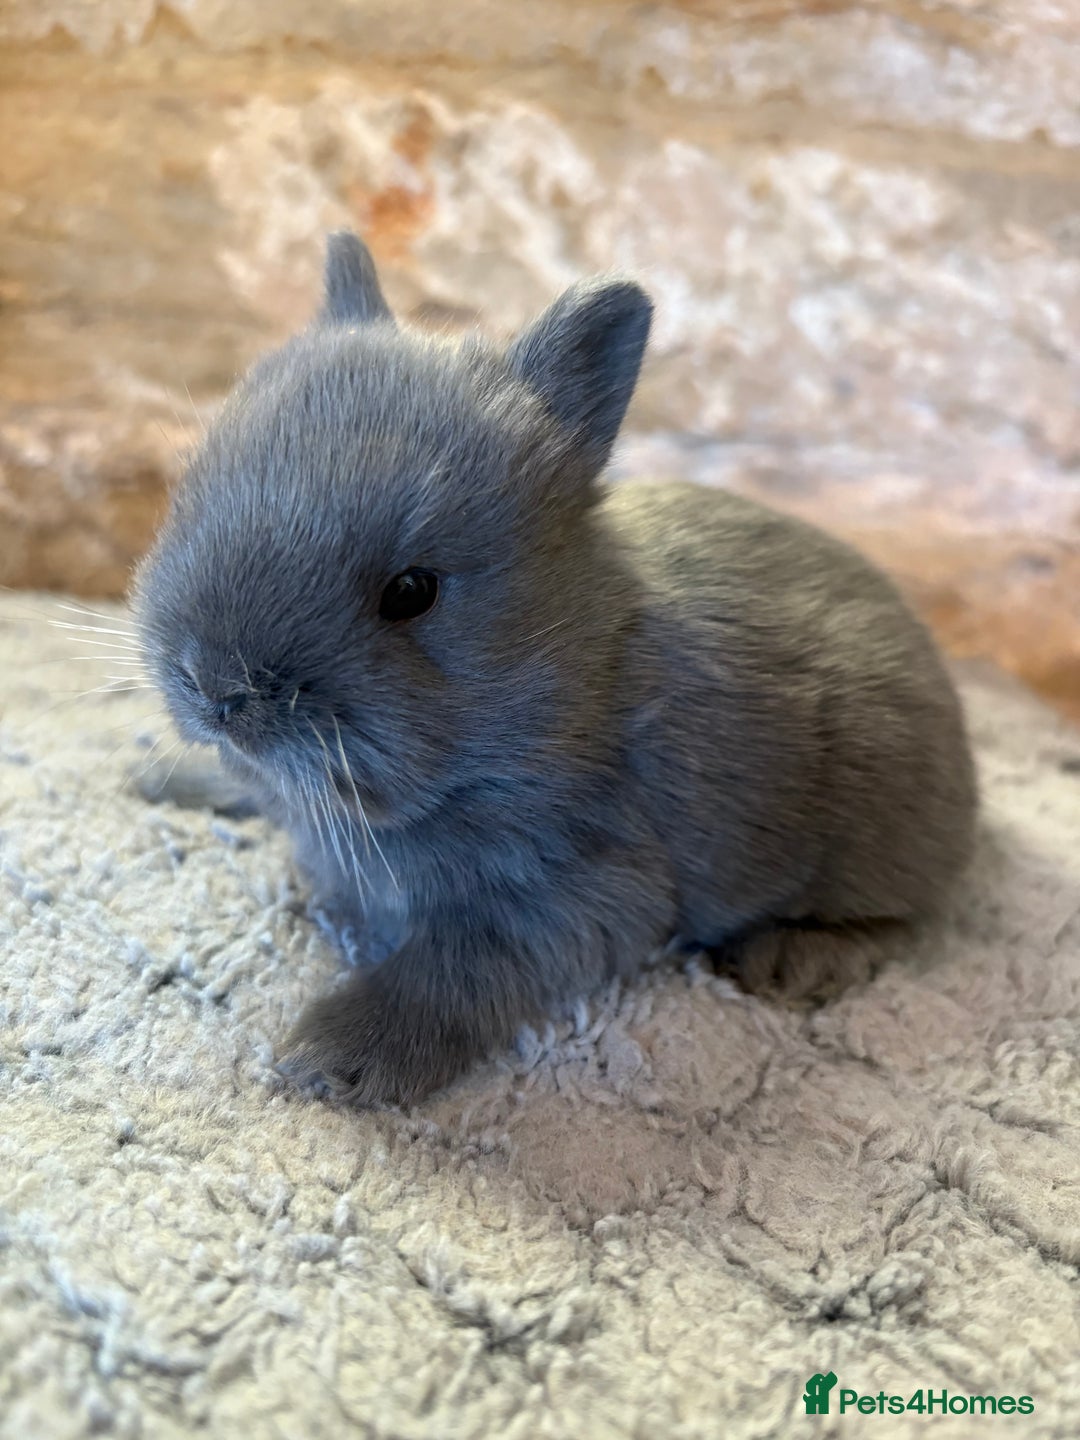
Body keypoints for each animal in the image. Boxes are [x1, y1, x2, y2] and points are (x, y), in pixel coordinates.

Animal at [134, 231, 977, 1106]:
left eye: (412, 592)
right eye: (193, 492)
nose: (215, 689)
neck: (575, 683)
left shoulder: (573, 896)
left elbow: (451, 974)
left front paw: (332, 1055)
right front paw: (163, 777)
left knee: (903, 922)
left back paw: (790, 959)